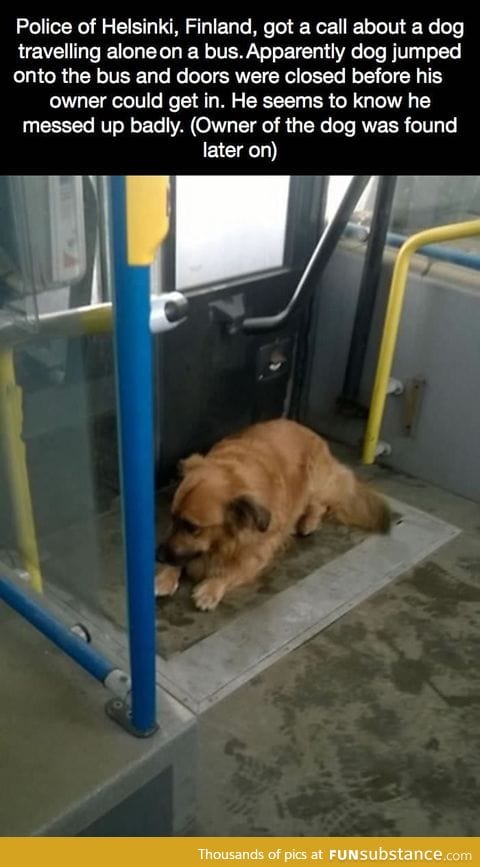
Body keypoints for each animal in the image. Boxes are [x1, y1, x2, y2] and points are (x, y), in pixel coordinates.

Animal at [155, 418, 390, 612]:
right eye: (173, 518)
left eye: (192, 527)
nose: (158, 556)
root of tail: (308, 430)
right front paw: (165, 576)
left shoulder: (260, 551)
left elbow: (233, 570)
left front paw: (211, 588)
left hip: (316, 481)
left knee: (320, 504)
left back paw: (308, 522)